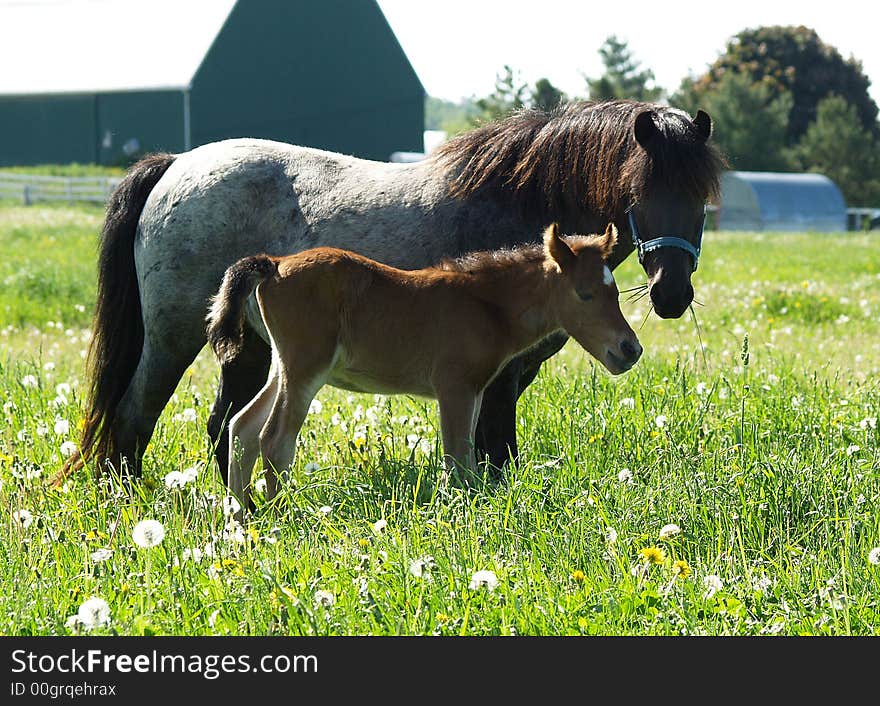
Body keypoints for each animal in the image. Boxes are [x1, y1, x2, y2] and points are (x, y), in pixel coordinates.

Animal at [209, 223, 644, 508]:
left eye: (615, 291)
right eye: (584, 294)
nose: (629, 349)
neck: (486, 306)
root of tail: (275, 263)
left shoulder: (474, 391)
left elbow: (468, 459)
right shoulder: (455, 387)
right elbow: (458, 460)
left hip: (282, 368)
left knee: (242, 428)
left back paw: (241, 520)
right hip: (304, 370)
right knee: (274, 440)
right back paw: (283, 518)